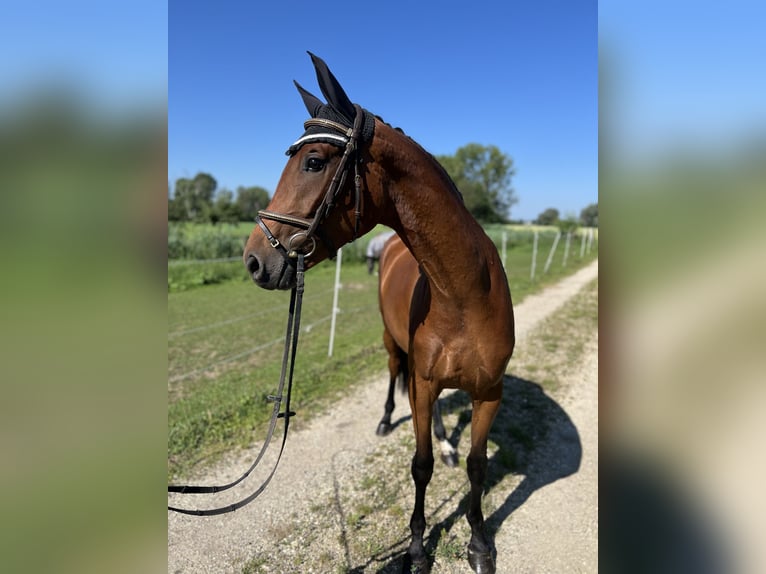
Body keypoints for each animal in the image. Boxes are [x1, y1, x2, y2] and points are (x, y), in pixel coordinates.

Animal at [246, 51, 516, 572]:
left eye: (314, 161)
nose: (254, 260)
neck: (463, 297)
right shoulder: (424, 382)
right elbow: (420, 465)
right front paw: (416, 548)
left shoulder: (488, 392)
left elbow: (477, 466)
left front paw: (479, 543)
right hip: (394, 346)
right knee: (396, 375)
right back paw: (387, 419)